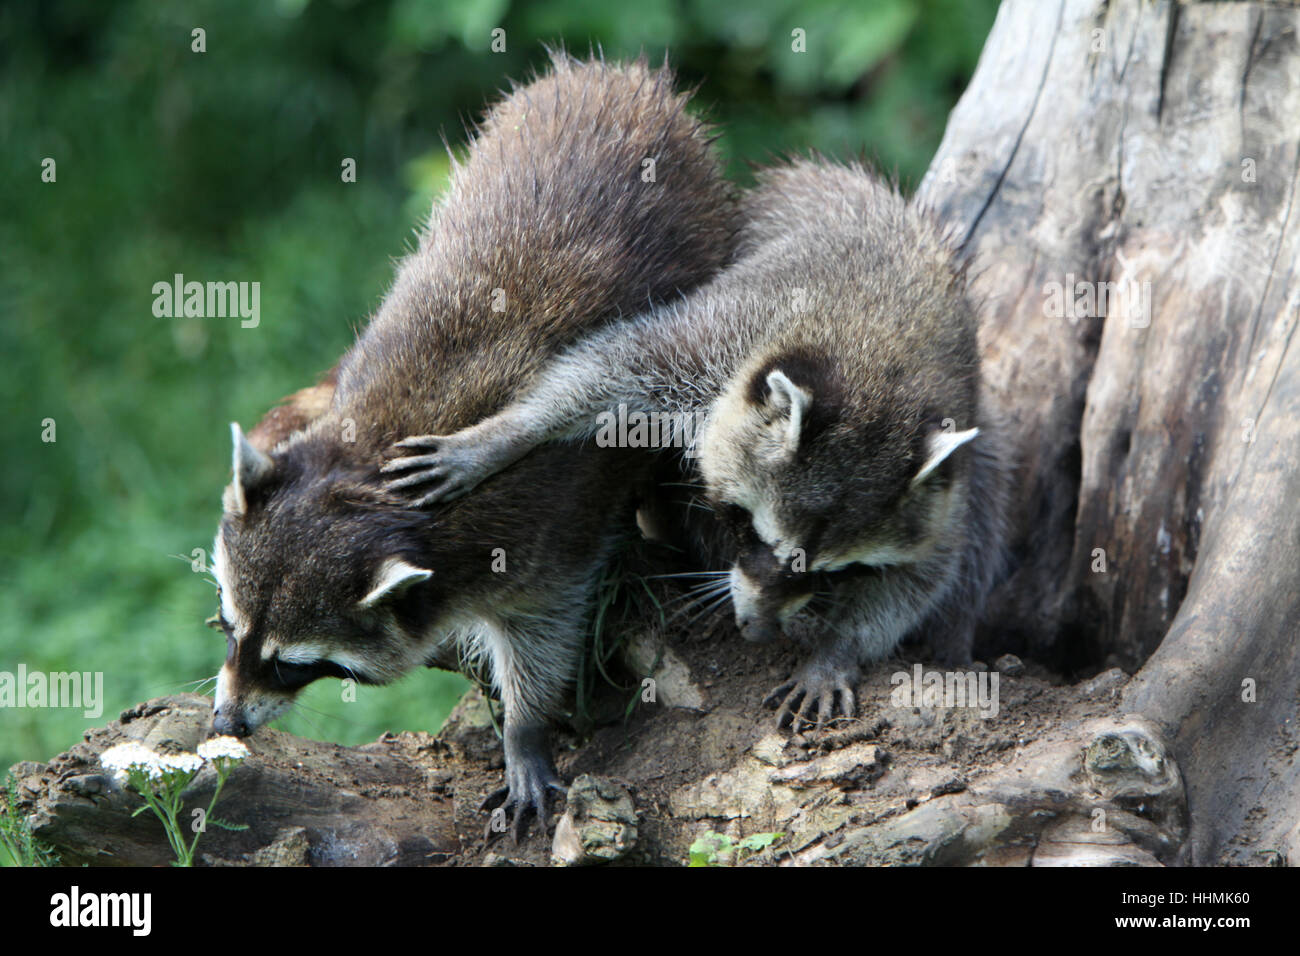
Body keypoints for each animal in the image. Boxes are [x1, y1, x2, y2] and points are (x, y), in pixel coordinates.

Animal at [210, 52, 736, 839]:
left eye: (292, 665)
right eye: (229, 627)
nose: (226, 723)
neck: (365, 483)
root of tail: (614, 74)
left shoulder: (545, 528)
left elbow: (545, 629)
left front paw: (524, 728)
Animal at [383, 159, 1009, 733]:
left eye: (836, 572)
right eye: (755, 535)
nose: (759, 630)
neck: (880, 360)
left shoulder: (946, 467)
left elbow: (924, 572)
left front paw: (838, 647)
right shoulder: (729, 330)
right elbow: (615, 365)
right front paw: (504, 435)